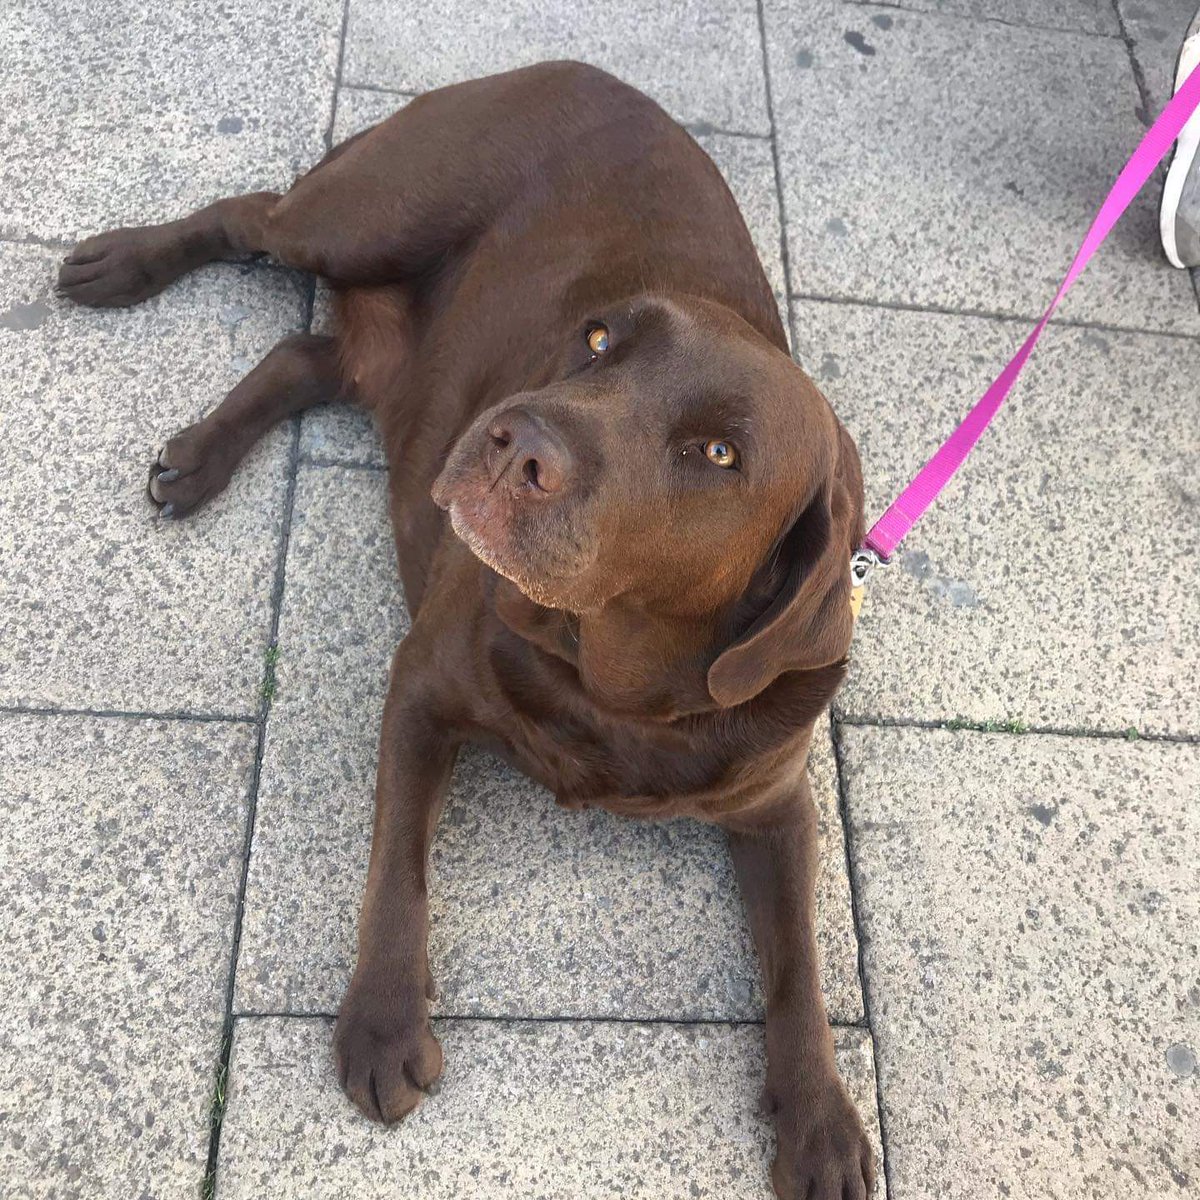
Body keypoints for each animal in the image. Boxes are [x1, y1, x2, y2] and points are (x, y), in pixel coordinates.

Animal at [56, 63, 878, 1200]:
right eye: (598, 341)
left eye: (719, 453)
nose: (513, 438)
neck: (608, 689)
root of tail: (571, 64)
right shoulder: (423, 689)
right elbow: (396, 865)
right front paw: (383, 1020)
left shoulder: (775, 804)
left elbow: (801, 965)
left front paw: (820, 1118)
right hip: (364, 218)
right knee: (253, 216)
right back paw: (126, 267)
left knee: (304, 351)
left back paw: (204, 454)